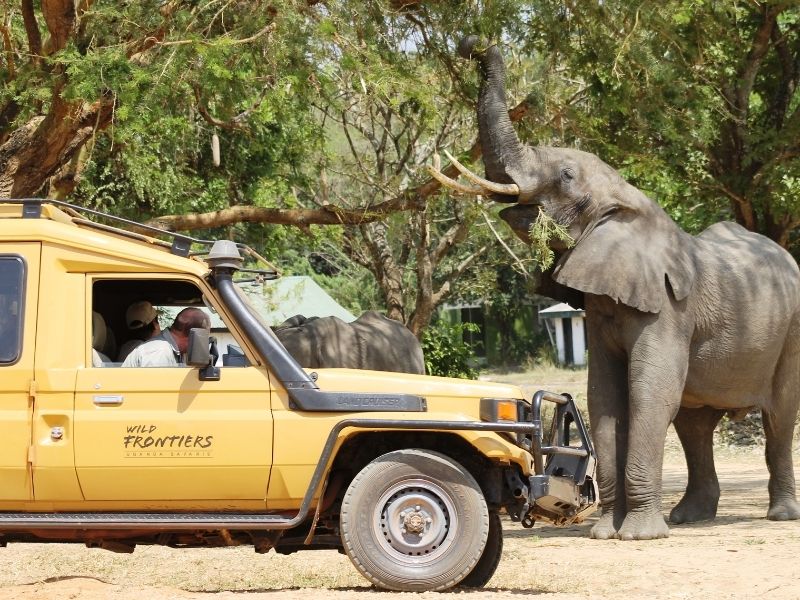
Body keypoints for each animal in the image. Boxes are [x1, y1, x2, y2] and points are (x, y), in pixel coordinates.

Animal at [432, 37, 800, 540]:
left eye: (566, 175)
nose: (472, 44)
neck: (627, 199)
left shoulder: (668, 311)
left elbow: (649, 395)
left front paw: (639, 536)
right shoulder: (601, 307)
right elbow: (604, 397)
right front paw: (606, 532)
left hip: (792, 332)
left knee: (778, 417)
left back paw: (778, 514)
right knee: (695, 425)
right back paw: (689, 517)